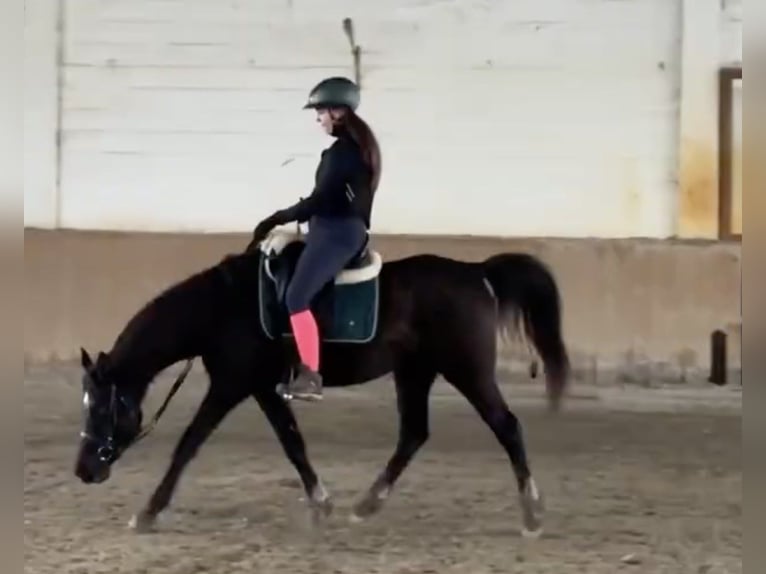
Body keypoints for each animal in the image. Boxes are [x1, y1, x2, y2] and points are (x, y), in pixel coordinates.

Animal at [73, 228, 570, 537]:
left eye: (101, 407)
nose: (84, 470)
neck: (223, 308)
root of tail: (476, 272)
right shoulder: (262, 388)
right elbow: (293, 443)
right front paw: (321, 503)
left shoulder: (231, 386)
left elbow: (188, 443)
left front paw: (147, 513)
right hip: (415, 371)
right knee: (414, 433)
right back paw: (366, 505)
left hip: (466, 369)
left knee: (507, 427)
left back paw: (533, 515)